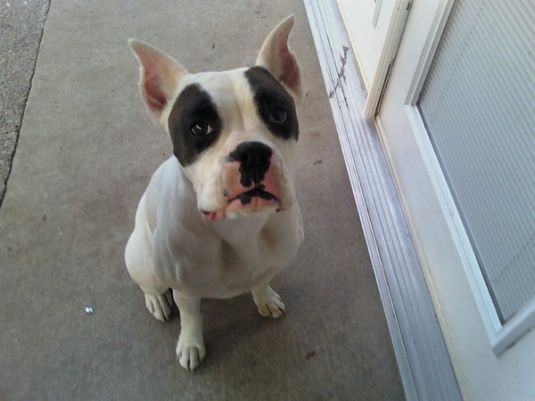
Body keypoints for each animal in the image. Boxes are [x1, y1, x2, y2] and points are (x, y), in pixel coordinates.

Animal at [123, 16, 304, 372]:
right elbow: (191, 317)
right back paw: (156, 299)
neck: (241, 227)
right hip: (143, 258)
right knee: (149, 282)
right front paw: (191, 345)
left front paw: (264, 299)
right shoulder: (185, 289)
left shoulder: (270, 264)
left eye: (279, 114)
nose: (252, 153)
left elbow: (261, 282)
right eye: (199, 127)